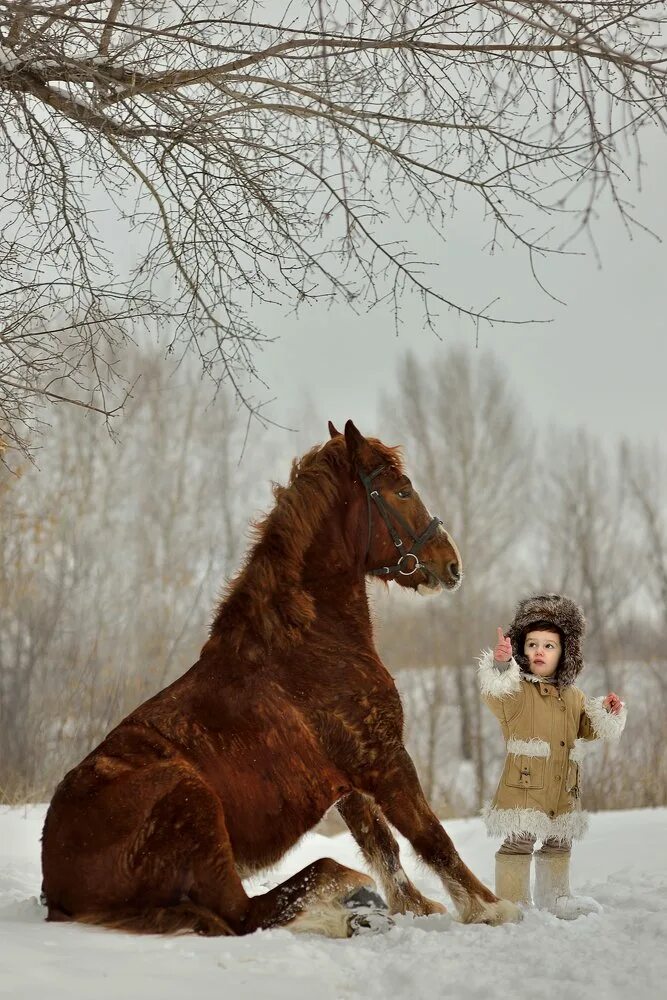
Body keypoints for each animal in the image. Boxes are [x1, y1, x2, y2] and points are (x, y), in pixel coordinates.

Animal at [41, 420, 520, 936]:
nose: (450, 564)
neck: (309, 643)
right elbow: (430, 836)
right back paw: (345, 912)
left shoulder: (352, 779)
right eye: (403, 490)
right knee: (250, 909)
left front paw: (416, 908)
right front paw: (490, 909)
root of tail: (57, 885)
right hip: (194, 804)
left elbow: (381, 843)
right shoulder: (384, 760)